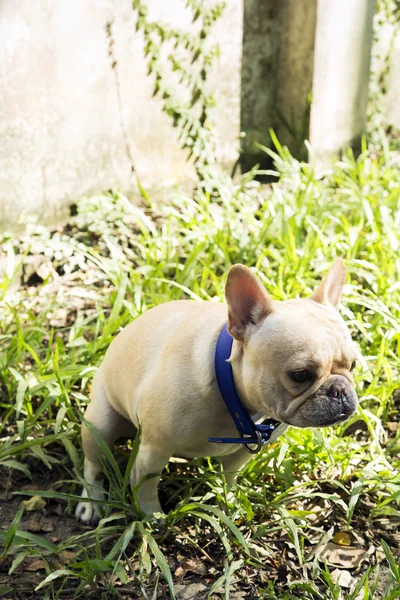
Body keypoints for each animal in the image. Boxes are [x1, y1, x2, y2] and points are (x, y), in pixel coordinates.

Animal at [75, 260, 360, 524]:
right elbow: (146, 486)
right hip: (100, 424)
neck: (231, 395)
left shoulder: (241, 453)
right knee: (92, 463)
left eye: (353, 365)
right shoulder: (153, 450)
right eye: (300, 375)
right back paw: (91, 502)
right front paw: (152, 515)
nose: (339, 390)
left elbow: (230, 477)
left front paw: (229, 502)